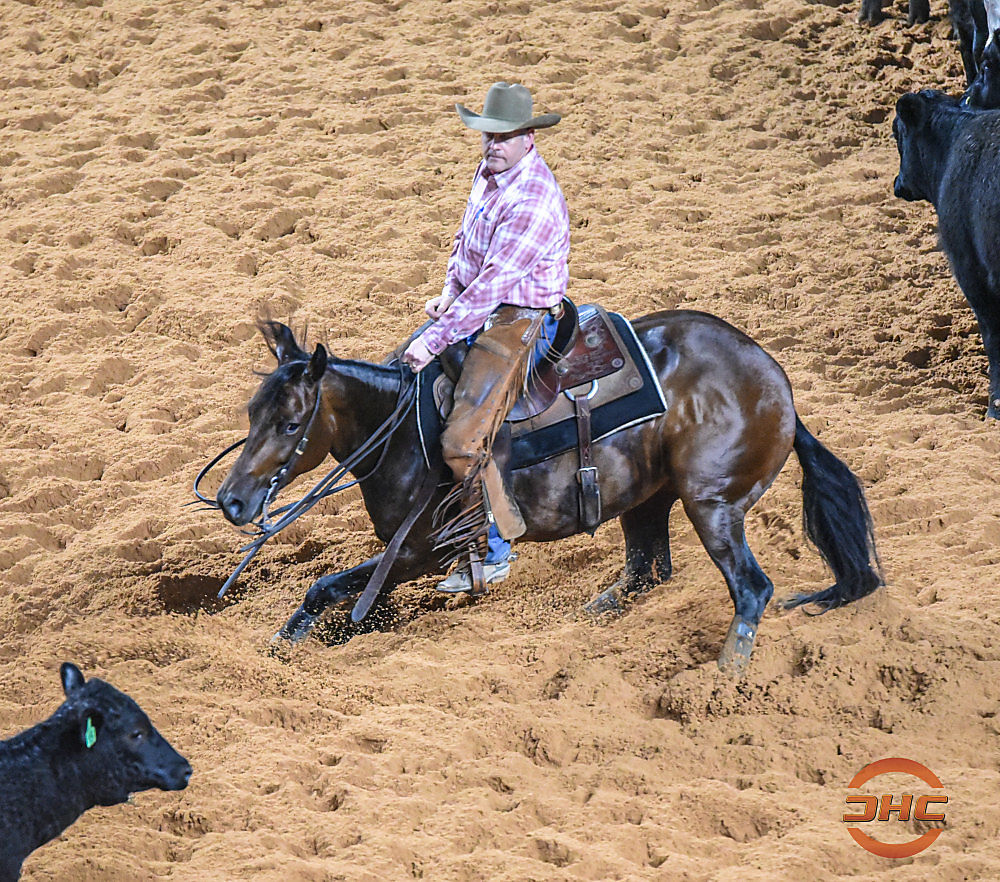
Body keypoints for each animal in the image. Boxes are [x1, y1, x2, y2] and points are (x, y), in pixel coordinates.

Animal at [213, 314, 882, 677]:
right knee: (647, 571)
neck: (404, 431)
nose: (232, 502)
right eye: (251, 412)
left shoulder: (419, 551)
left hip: (712, 505)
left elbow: (327, 587)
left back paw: (722, 680)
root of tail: (774, 380)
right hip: (646, 500)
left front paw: (286, 647)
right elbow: (340, 596)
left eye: (291, 425)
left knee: (751, 589)